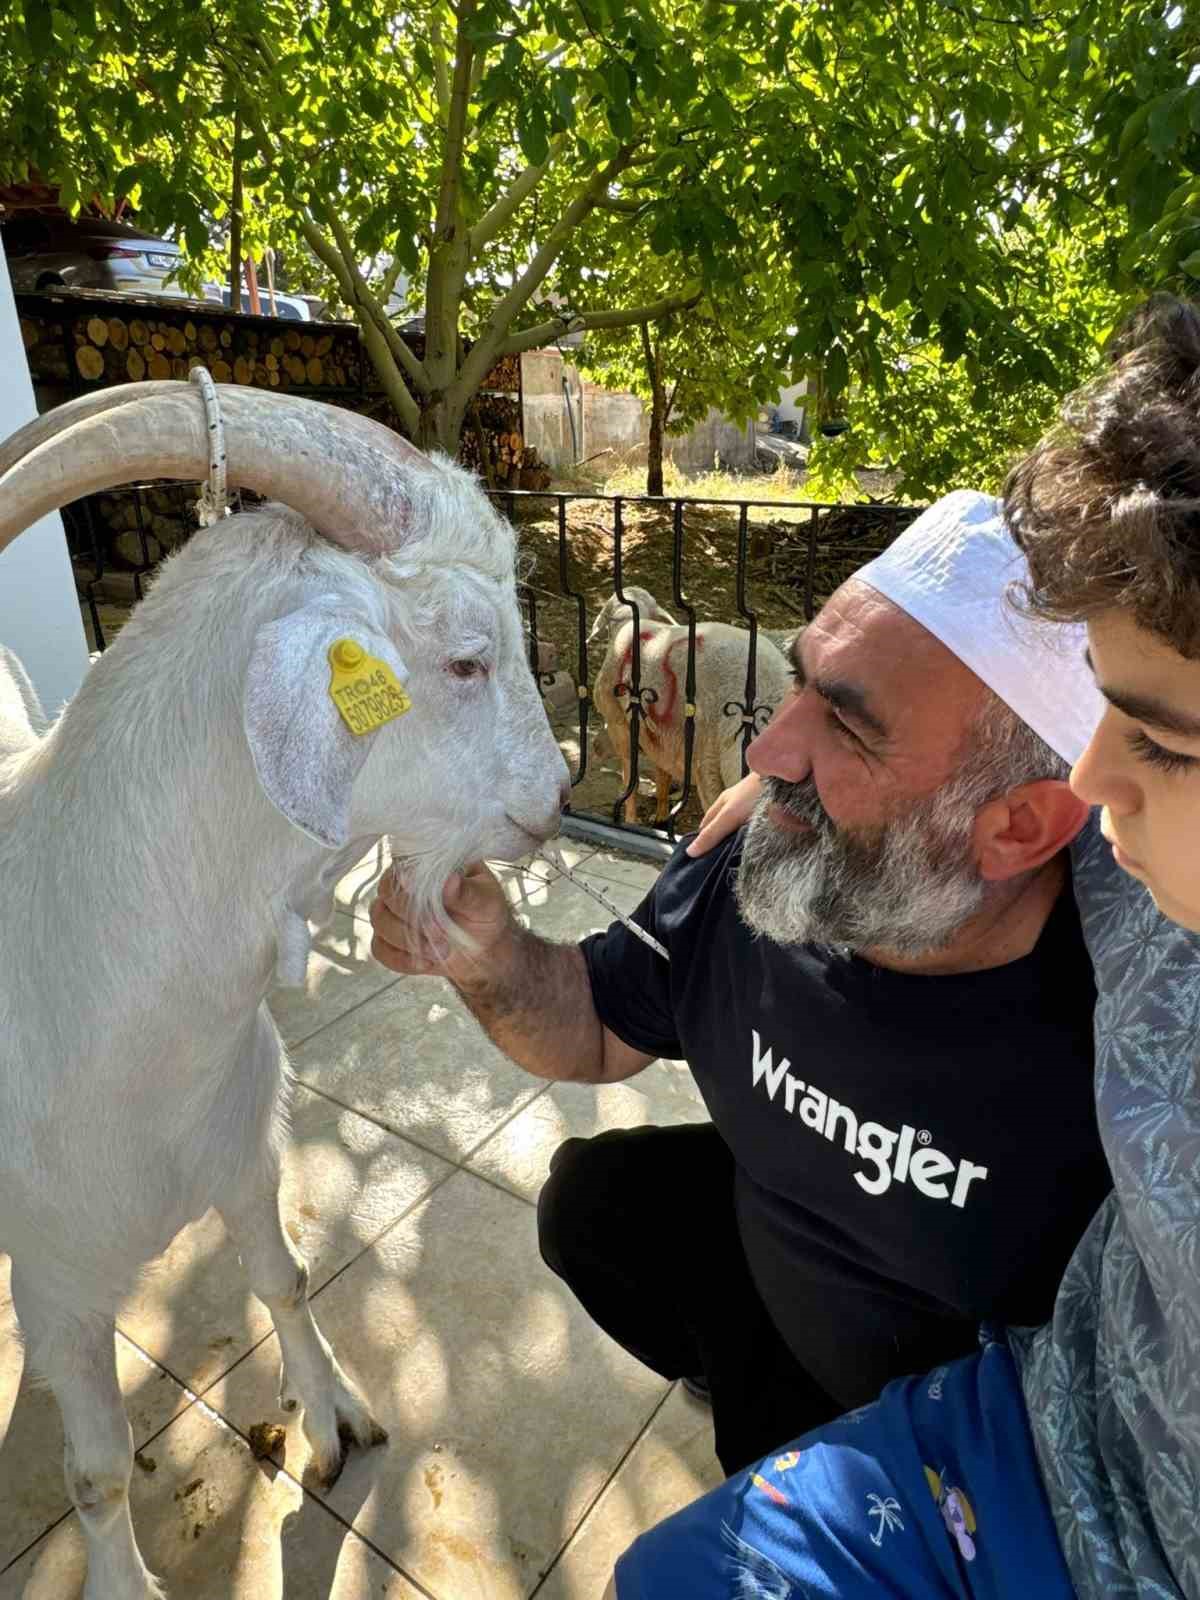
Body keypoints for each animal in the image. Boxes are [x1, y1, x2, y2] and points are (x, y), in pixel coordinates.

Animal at [0, 377, 569, 1600]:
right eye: (466, 659)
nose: (555, 796)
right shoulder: (60, 1282)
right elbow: (96, 1474)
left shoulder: (245, 1145)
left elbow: (287, 1274)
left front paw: (335, 1416)